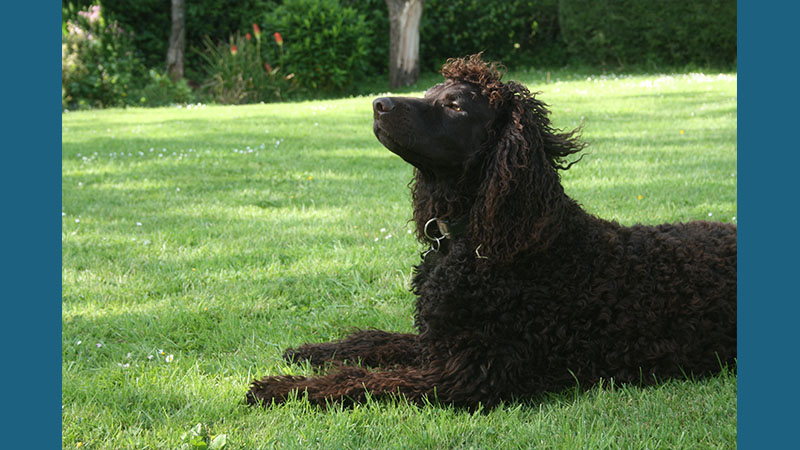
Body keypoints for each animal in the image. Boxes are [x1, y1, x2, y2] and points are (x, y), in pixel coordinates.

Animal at [245, 54, 736, 410]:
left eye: (455, 105)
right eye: (431, 93)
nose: (378, 104)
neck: (476, 239)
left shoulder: (466, 373)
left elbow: (365, 380)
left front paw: (283, 388)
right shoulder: (438, 341)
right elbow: (378, 341)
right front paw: (316, 350)